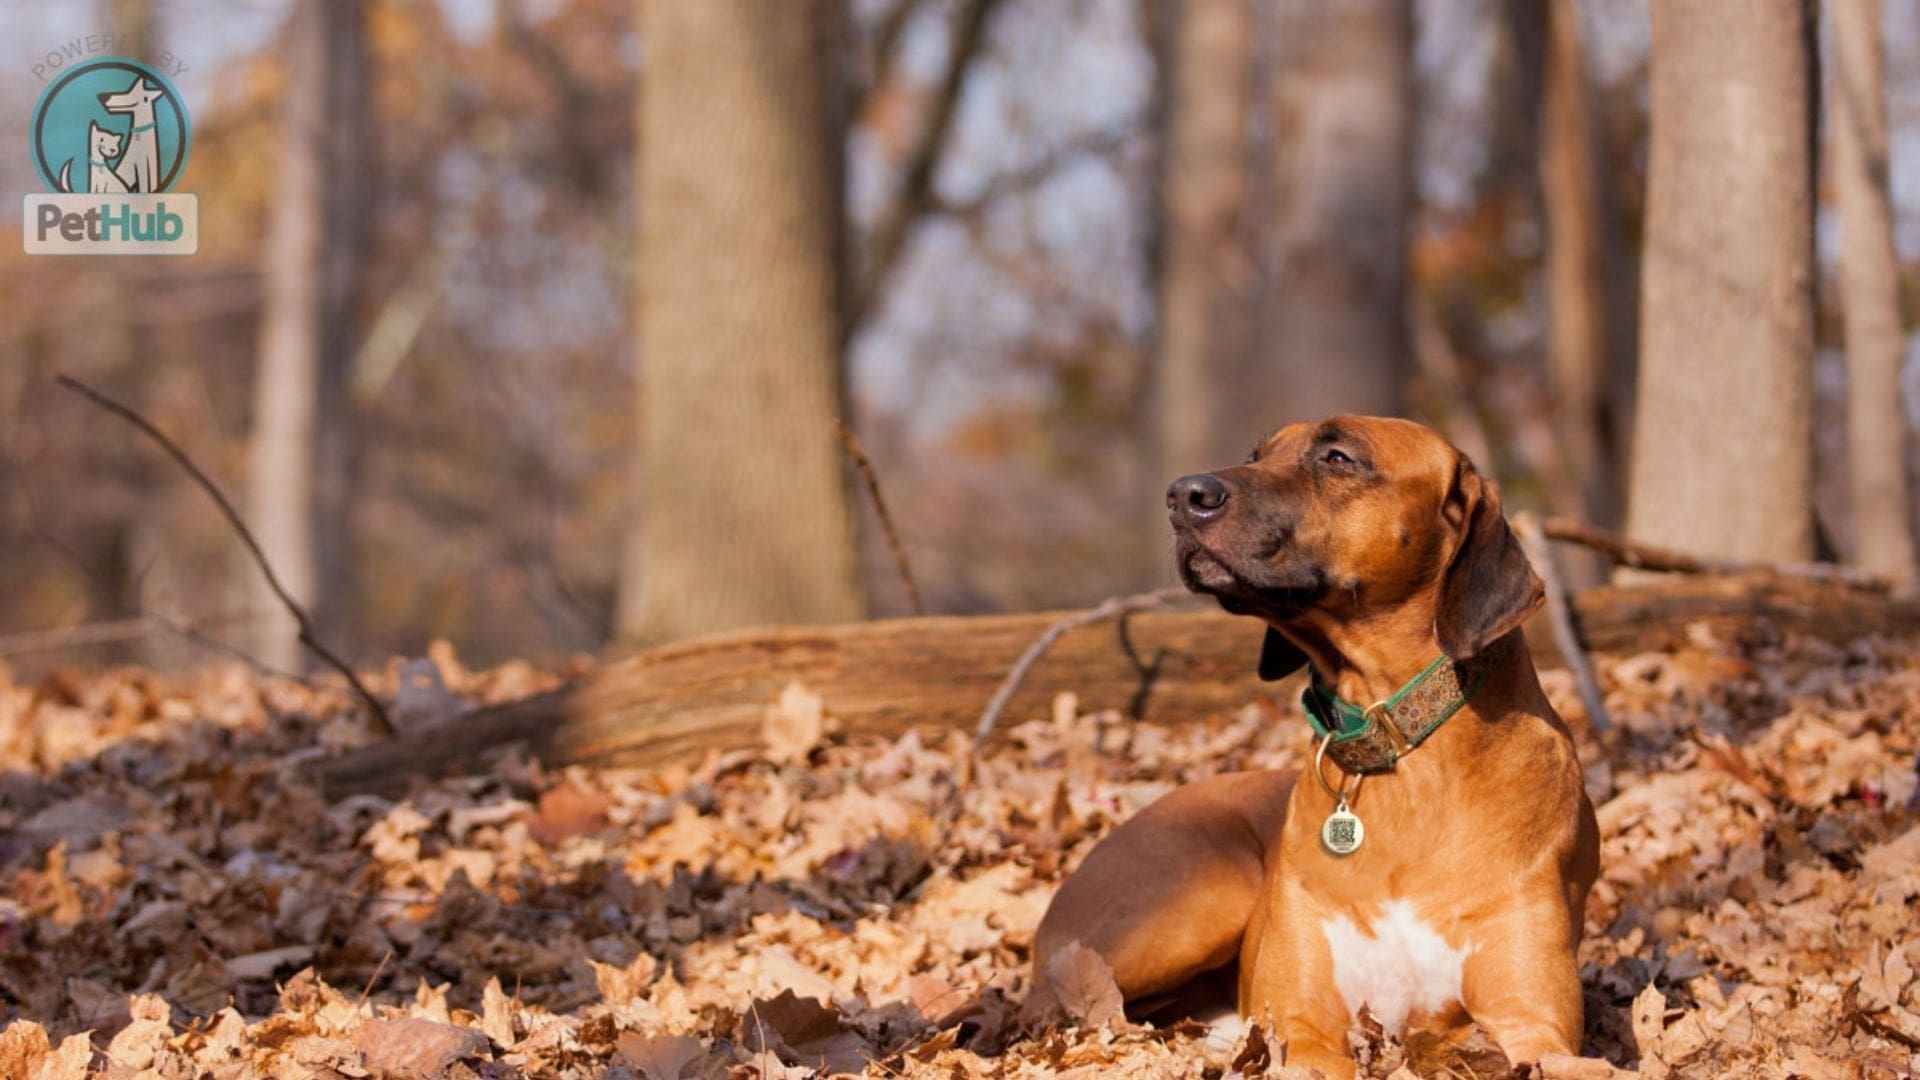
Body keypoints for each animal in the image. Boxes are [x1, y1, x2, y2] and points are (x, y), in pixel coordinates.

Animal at [1036, 413, 1605, 1076]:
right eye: (1255, 456)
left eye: (1338, 457)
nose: (1181, 495)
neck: (1403, 757)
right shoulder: (1305, 1025)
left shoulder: (1530, 1023)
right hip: (1200, 897)